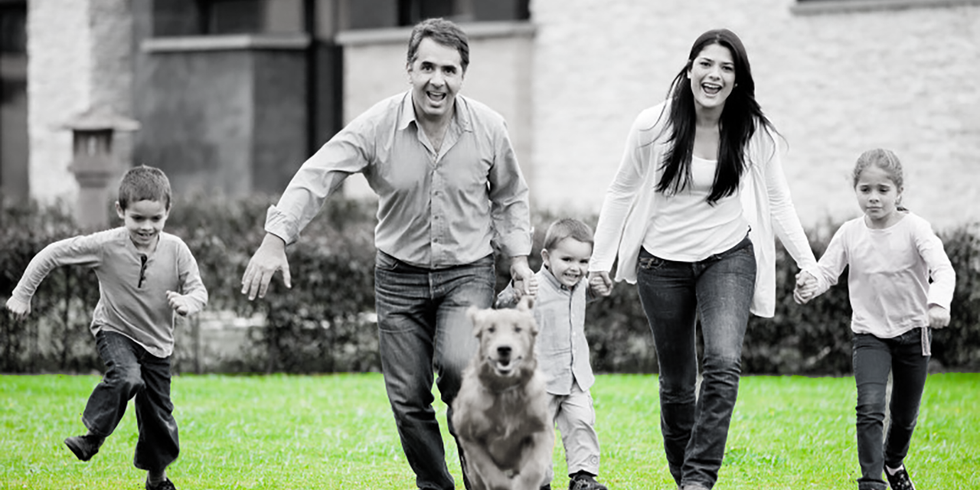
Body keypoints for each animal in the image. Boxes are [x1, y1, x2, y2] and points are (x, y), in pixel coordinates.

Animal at [450, 294, 552, 490]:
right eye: (490, 330)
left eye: (518, 329)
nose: (504, 348)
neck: (506, 390)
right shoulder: (469, 436)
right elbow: (491, 474)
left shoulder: (541, 430)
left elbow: (534, 469)